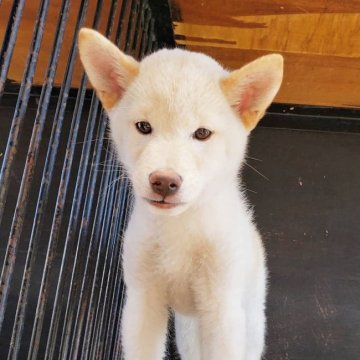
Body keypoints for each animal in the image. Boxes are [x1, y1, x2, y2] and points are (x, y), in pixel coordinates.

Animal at [79, 28, 284, 360]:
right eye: (144, 126)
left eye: (202, 133)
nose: (164, 182)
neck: (179, 231)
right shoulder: (142, 303)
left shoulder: (222, 312)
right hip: (188, 331)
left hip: (248, 323)